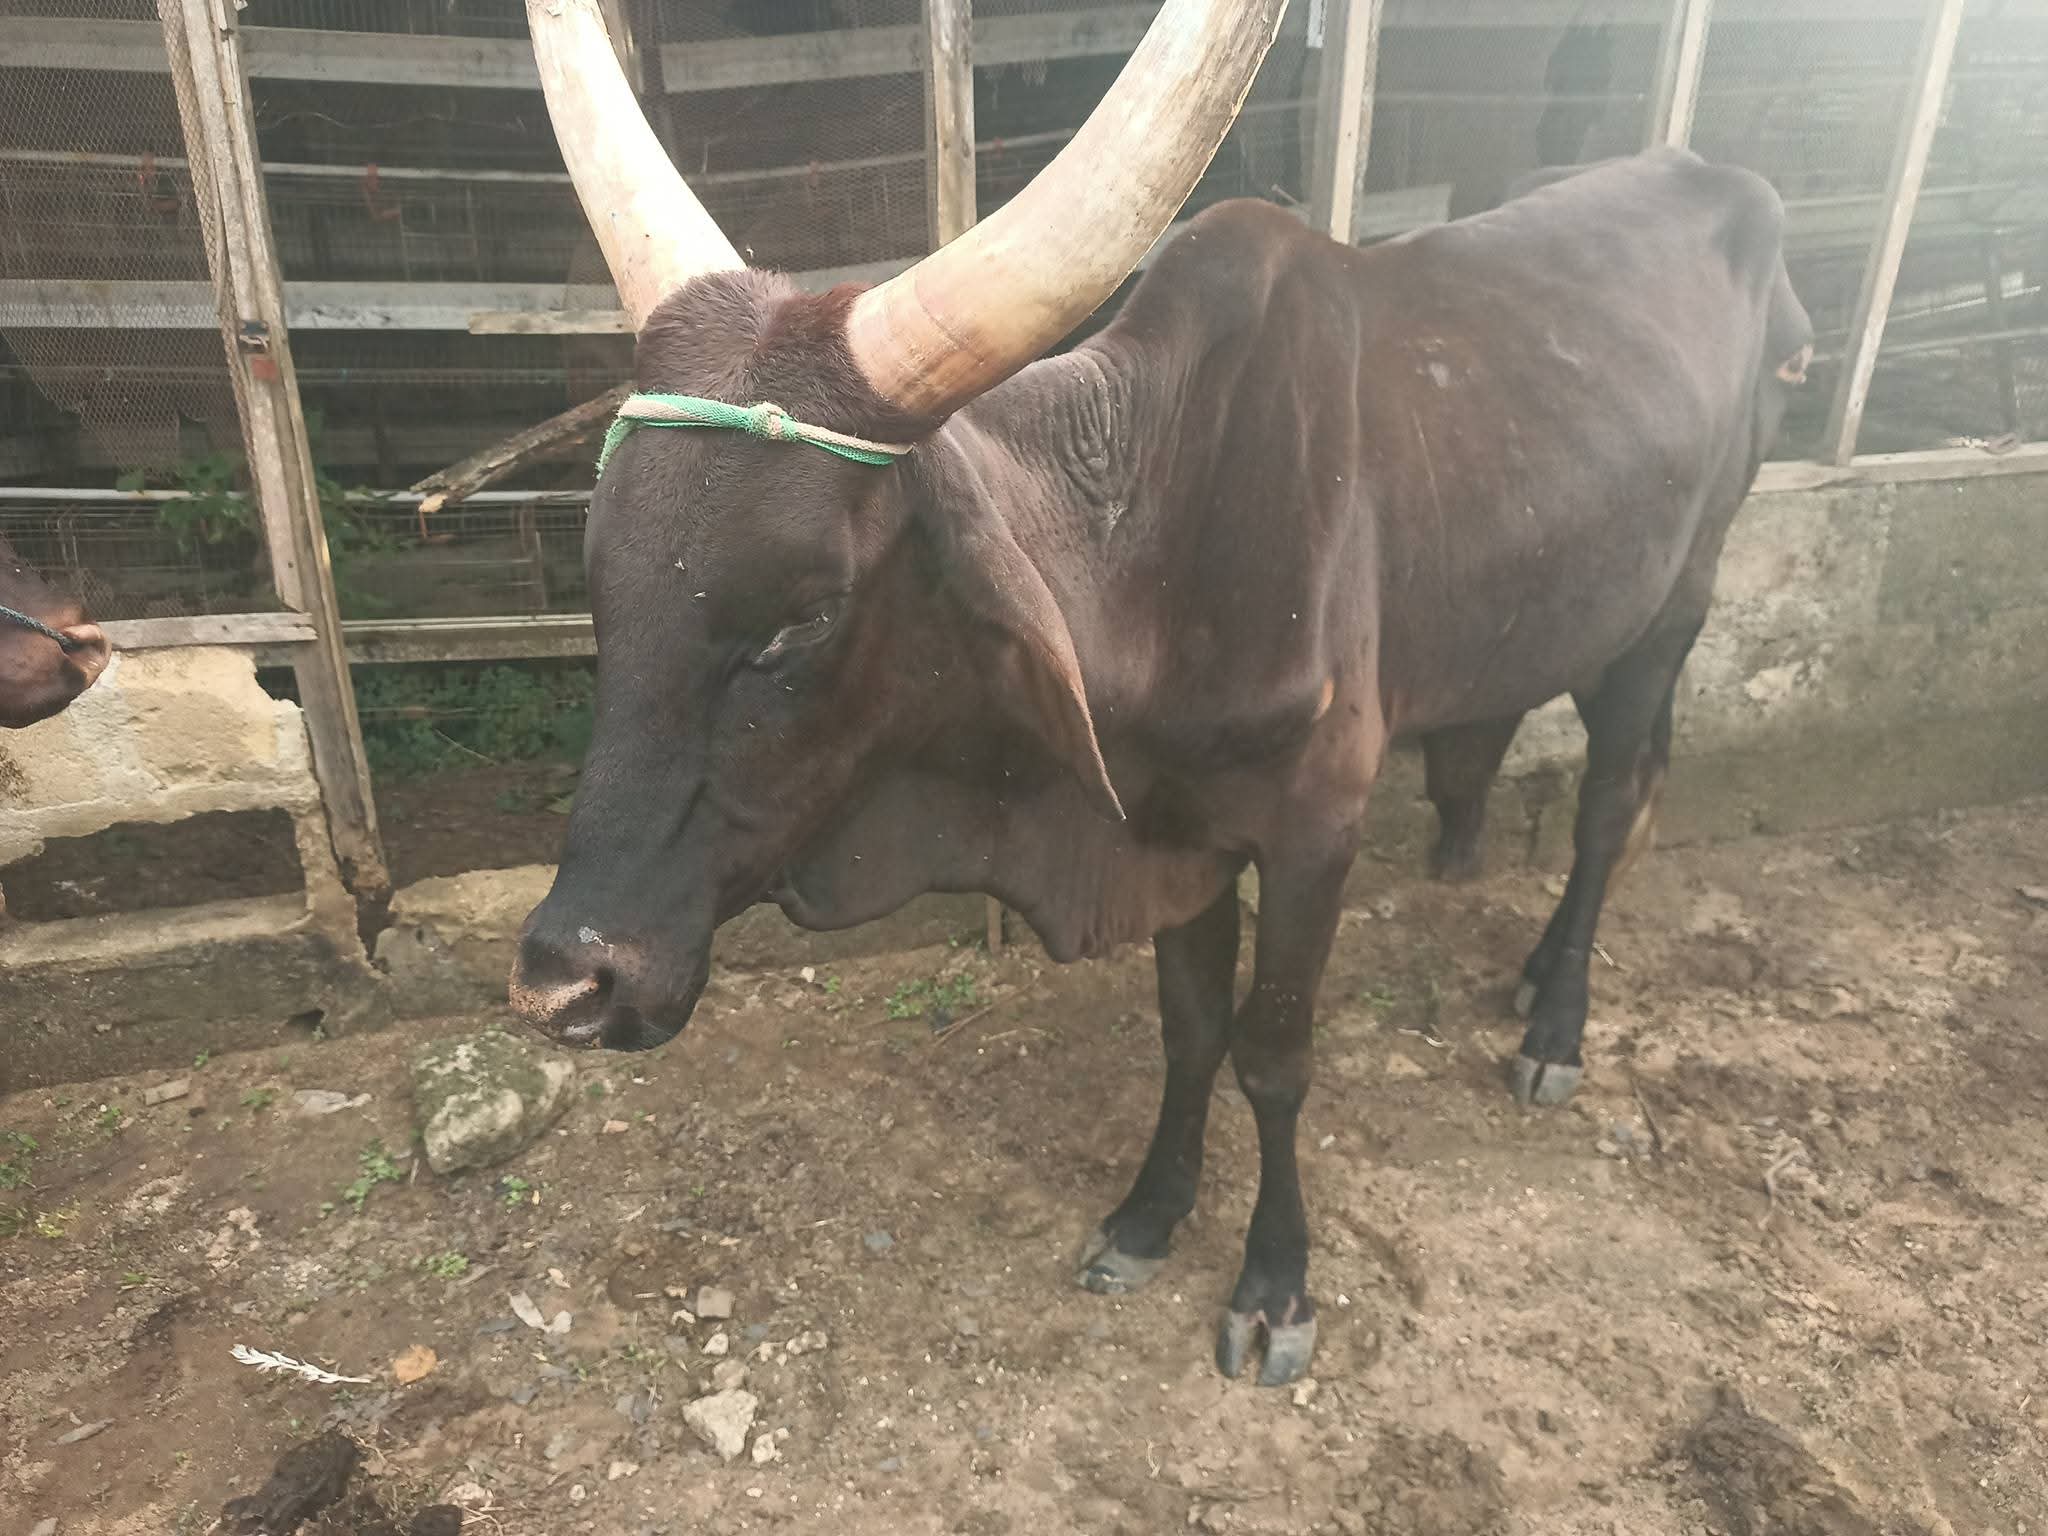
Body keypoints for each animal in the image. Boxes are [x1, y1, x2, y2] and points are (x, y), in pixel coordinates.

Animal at [507, 0, 1812, 1386]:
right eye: (600, 577)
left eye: (800, 615)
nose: (563, 981)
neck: (1159, 538)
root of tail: (1714, 180)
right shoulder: (1174, 829)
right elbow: (1190, 1029)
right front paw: (1145, 1216)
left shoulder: (1313, 832)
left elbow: (1273, 1053)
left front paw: (1273, 1286)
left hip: (1675, 603)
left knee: (1610, 801)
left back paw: (1553, 1026)